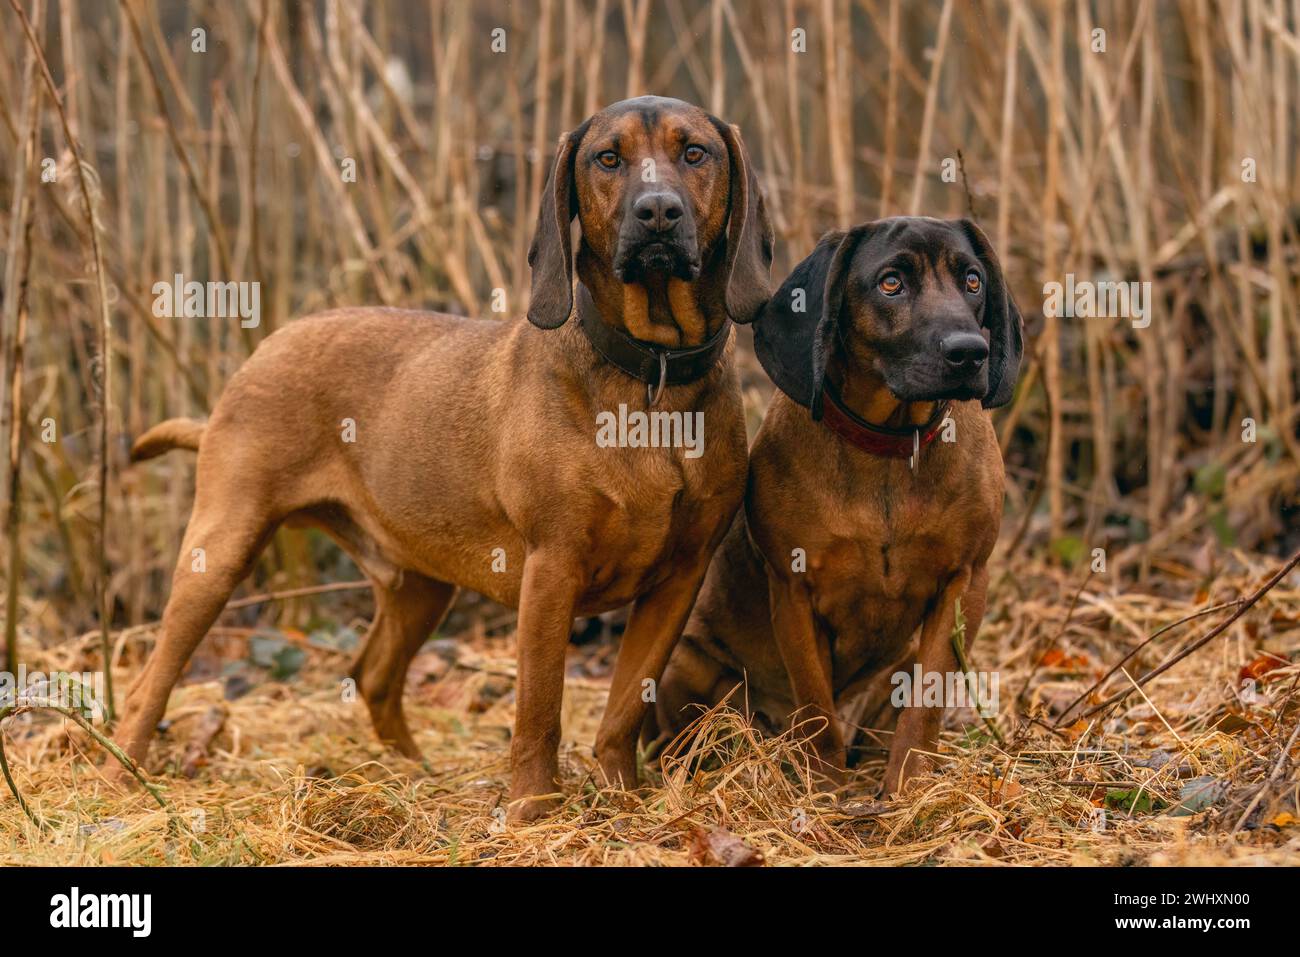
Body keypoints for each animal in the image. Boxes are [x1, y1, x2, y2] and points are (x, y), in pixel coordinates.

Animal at [116, 95, 764, 816]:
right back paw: (123, 784)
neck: (652, 378)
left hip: (421, 584)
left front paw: (623, 798)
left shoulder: (679, 578)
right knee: (148, 686)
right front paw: (532, 811)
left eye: (696, 152)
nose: (657, 212)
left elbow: (624, 709)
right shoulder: (552, 568)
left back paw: (411, 774)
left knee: (373, 675)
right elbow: (539, 710)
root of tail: (262, 351)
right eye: (608, 158)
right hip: (221, 550)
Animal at [655, 221, 1019, 795]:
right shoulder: (793, 588)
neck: (891, 443)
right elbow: (817, 705)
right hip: (687, 664)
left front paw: (908, 784)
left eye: (973, 280)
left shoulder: (965, 582)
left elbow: (925, 706)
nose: (970, 352)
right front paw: (827, 787)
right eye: (891, 283)